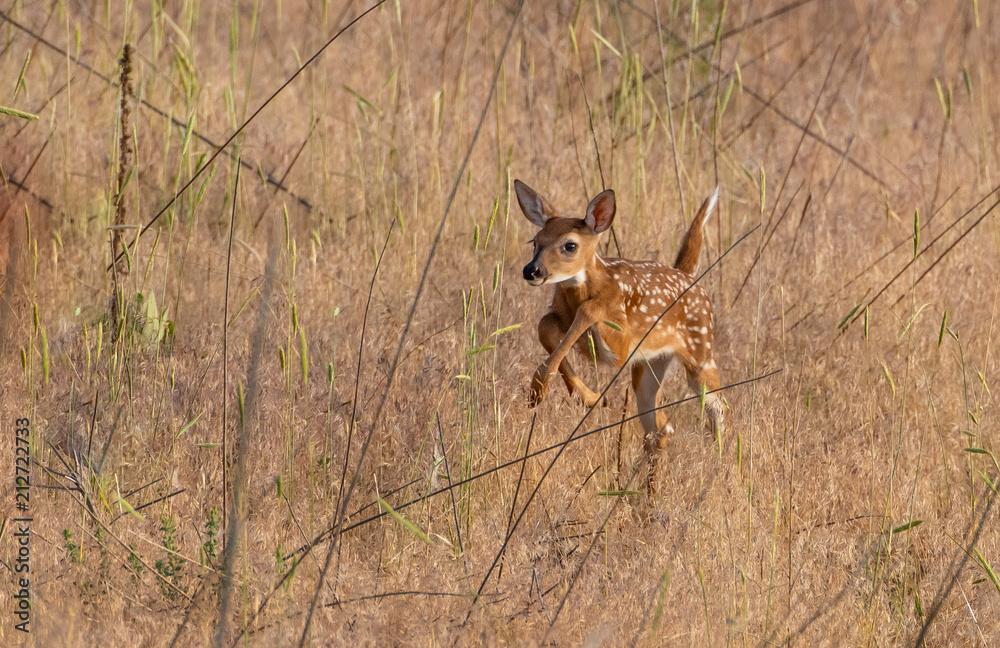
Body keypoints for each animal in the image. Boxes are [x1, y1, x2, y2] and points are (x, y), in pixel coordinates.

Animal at [516, 179, 722, 492]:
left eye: (570, 245)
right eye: (535, 241)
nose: (532, 270)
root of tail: (689, 277)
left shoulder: (622, 346)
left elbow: (588, 310)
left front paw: (542, 390)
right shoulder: (560, 318)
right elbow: (545, 325)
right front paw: (585, 397)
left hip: (701, 350)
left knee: (718, 406)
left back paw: (724, 466)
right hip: (649, 366)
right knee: (661, 426)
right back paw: (646, 496)